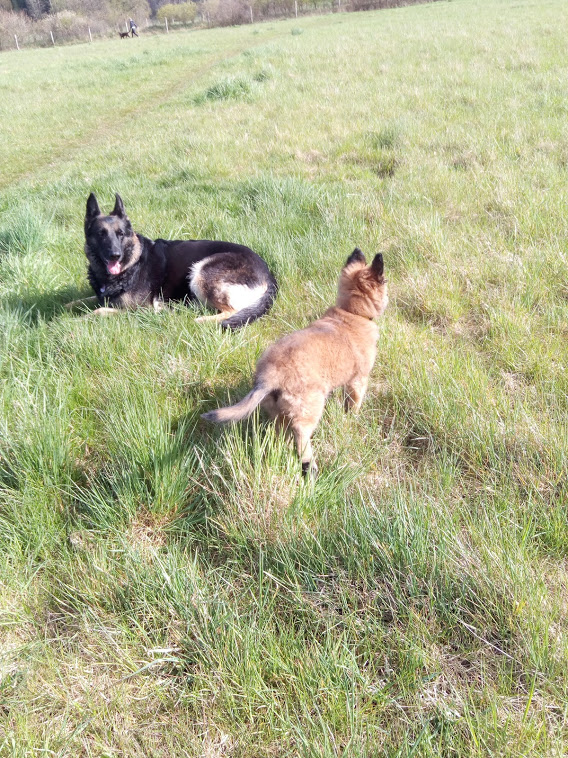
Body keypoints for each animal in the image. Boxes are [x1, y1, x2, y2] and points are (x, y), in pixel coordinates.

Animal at [68, 193, 277, 329]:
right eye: (101, 234)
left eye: (120, 234)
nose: (115, 255)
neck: (131, 264)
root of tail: (269, 274)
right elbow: (84, 300)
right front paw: (67, 306)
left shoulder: (138, 310)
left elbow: (98, 311)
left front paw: (73, 321)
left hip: (201, 272)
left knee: (232, 310)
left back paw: (201, 320)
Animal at [202, 249, 388, 475]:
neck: (351, 314)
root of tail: (270, 376)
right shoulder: (358, 380)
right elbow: (354, 403)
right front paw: (352, 418)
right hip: (309, 409)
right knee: (302, 437)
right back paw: (310, 466)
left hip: (278, 413)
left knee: (280, 436)